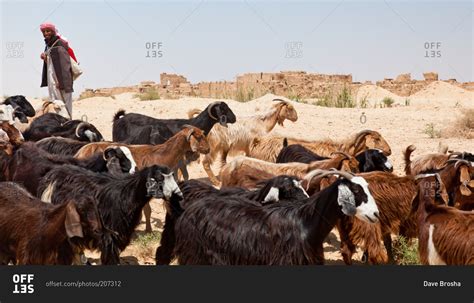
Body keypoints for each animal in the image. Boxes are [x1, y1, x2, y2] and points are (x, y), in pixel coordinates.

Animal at [37, 164, 181, 266]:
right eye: (159, 179)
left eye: (173, 176)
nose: (178, 194)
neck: (127, 194)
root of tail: (52, 179)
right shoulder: (109, 233)